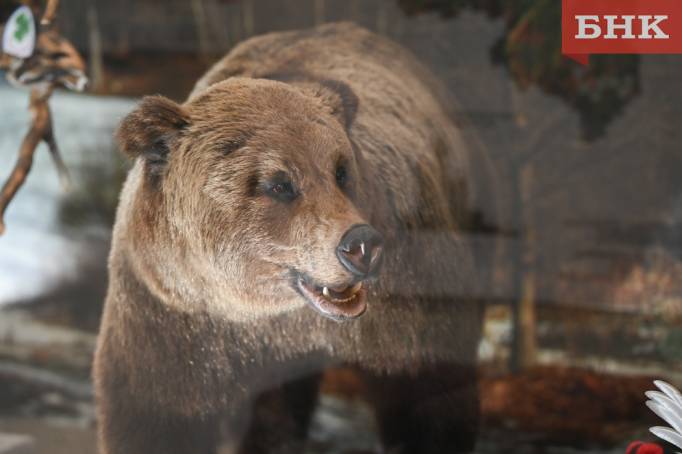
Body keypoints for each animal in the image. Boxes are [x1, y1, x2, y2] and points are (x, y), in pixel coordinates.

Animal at [94, 22, 485, 454]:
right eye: (279, 184)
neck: (266, 314)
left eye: (341, 170)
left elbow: (429, 393)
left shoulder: (406, 305)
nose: (361, 245)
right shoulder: (169, 315)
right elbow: (157, 415)